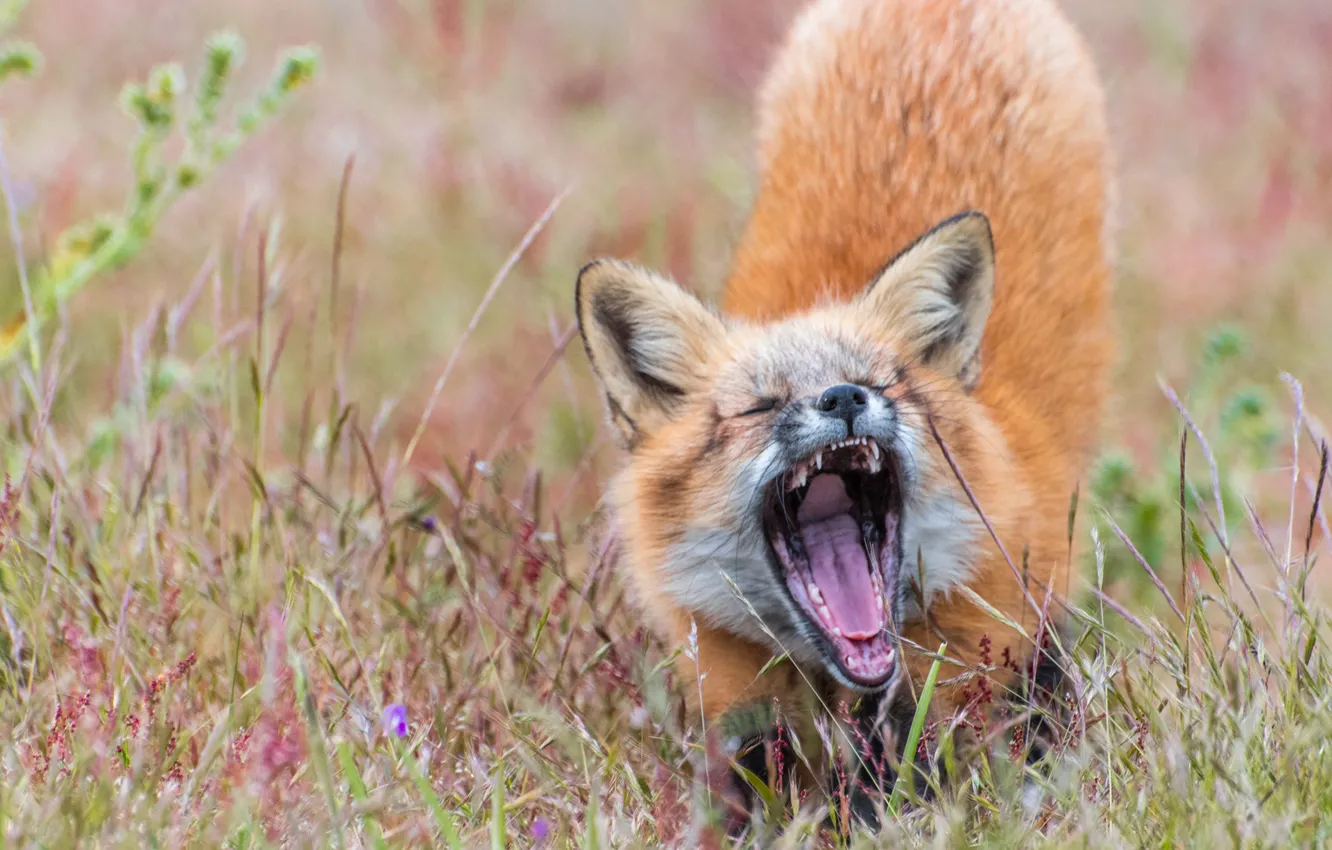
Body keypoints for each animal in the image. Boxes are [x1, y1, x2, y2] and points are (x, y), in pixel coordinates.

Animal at [578, 0, 1108, 831]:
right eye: (760, 406)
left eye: (879, 382)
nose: (843, 399)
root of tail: (933, 13)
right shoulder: (737, 700)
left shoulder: (1024, 625)